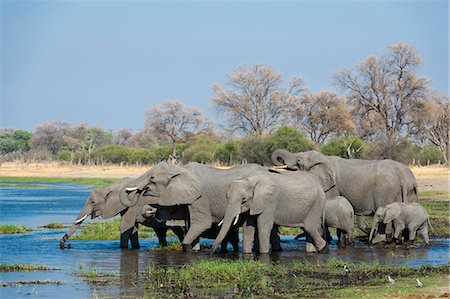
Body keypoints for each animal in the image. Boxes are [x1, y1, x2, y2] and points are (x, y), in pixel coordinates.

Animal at [119, 162, 282, 253]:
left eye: (152, 178)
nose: (147, 208)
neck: (180, 169)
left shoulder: (200, 197)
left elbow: (201, 223)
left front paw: (188, 249)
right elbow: (191, 224)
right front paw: (195, 249)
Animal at [270, 150, 418, 244]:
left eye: (299, 160)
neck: (324, 158)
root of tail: (402, 176)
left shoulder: (332, 187)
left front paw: (328, 239)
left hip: (385, 191)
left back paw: (378, 241)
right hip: (408, 193)